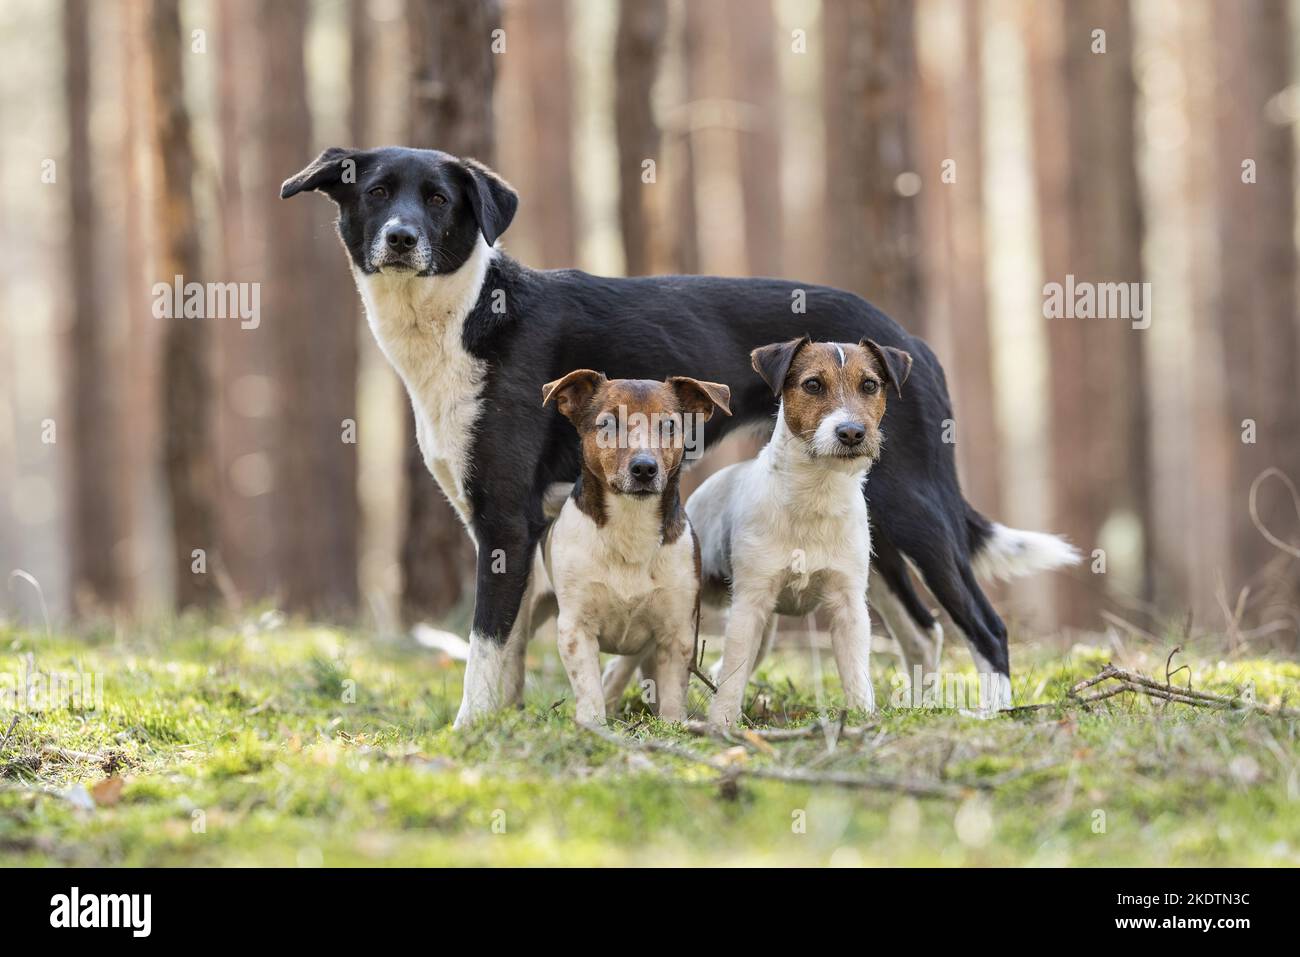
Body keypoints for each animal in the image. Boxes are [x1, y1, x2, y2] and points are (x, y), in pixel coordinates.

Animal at [282, 145, 1076, 722]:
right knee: (922, 629)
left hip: (915, 506)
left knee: (984, 626)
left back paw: (992, 719)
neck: (467, 313)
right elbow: (512, 651)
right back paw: (913, 716)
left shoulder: (505, 520)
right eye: (376, 192)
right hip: (876, 526)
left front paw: (471, 734)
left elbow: (484, 647)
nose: (401, 238)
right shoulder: (521, 530)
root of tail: (906, 339)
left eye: (439, 199)